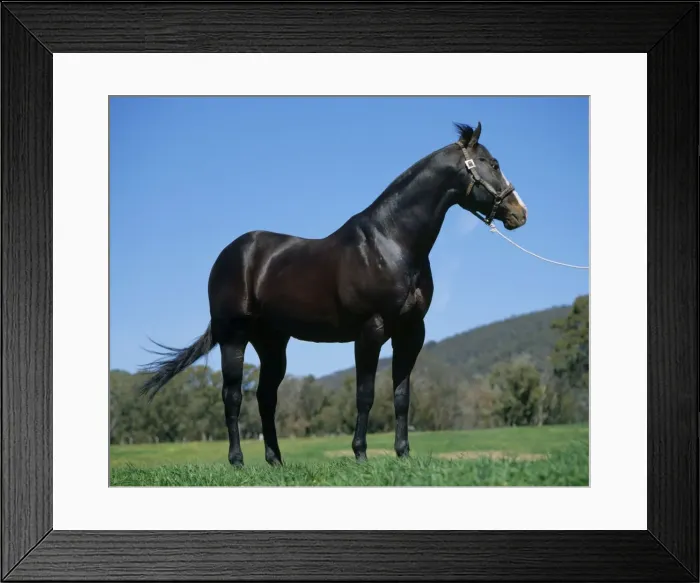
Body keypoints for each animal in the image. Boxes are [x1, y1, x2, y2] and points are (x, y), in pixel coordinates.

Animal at [137, 121, 528, 467]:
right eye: (492, 163)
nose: (519, 213)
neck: (392, 243)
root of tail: (230, 254)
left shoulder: (411, 331)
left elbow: (402, 396)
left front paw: (403, 454)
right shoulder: (371, 330)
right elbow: (365, 394)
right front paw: (361, 454)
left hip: (272, 342)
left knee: (266, 398)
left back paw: (275, 461)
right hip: (234, 336)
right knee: (232, 396)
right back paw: (237, 461)